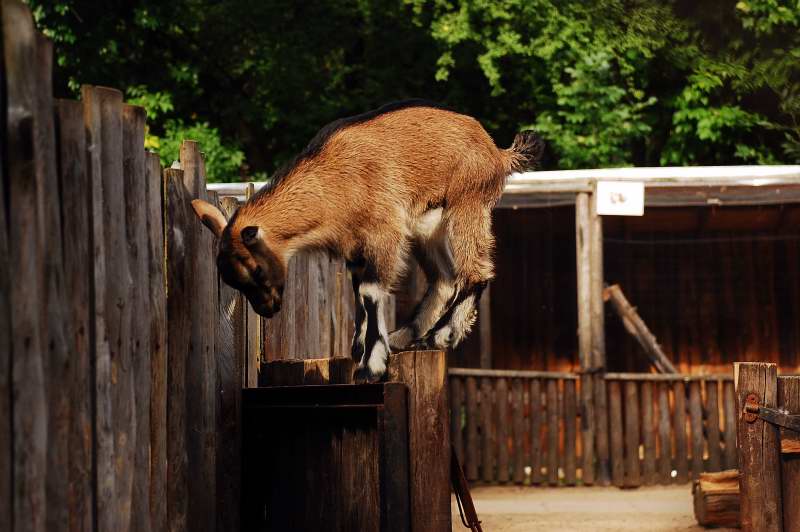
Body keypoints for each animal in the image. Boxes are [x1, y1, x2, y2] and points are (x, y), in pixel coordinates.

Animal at [193, 100, 544, 382]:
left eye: (255, 270)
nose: (267, 309)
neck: (333, 180)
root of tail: (497, 153)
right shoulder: (355, 245)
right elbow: (357, 293)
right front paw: (359, 346)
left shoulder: (383, 231)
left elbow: (370, 292)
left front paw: (371, 364)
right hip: (426, 229)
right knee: (445, 277)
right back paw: (405, 336)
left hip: (467, 206)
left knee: (476, 271)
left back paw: (441, 336)